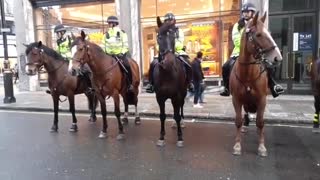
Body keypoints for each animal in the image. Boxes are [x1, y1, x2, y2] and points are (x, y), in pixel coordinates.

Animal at [152, 16, 188, 147]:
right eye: (159, 37)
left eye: (174, 36)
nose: (169, 62)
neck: (166, 74)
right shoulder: (160, 97)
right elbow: (162, 116)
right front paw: (161, 137)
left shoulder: (176, 96)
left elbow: (177, 115)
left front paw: (180, 137)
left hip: (183, 93)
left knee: (180, 108)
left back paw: (181, 122)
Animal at [230, 11, 282, 157]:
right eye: (258, 35)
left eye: (269, 32)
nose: (278, 58)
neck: (248, 73)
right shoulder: (236, 99)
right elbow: (238, 121)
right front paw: (237, 146)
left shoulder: (262, 100)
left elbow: (260, 122)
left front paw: (261, 147)